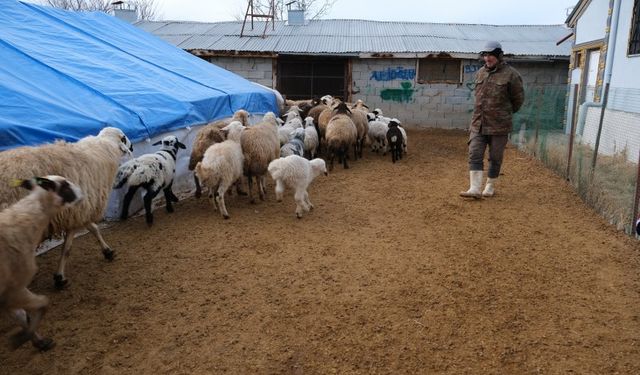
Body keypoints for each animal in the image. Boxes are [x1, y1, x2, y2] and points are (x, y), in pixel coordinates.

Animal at [0, 128, 133, 290]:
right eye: (124, 137)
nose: (132, 147)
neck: (103, 150)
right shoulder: (75, 212)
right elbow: (67, 249)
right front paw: (60, 278)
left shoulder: (80, 210)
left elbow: (94, 229)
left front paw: (108, 251)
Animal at [0, 176, 84, 352]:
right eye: (65, 186)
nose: (83, 193)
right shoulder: (14, 288)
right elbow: (42, 304)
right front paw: (23, 338)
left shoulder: (6, 293)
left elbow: (21, 315)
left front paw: (37, 341)